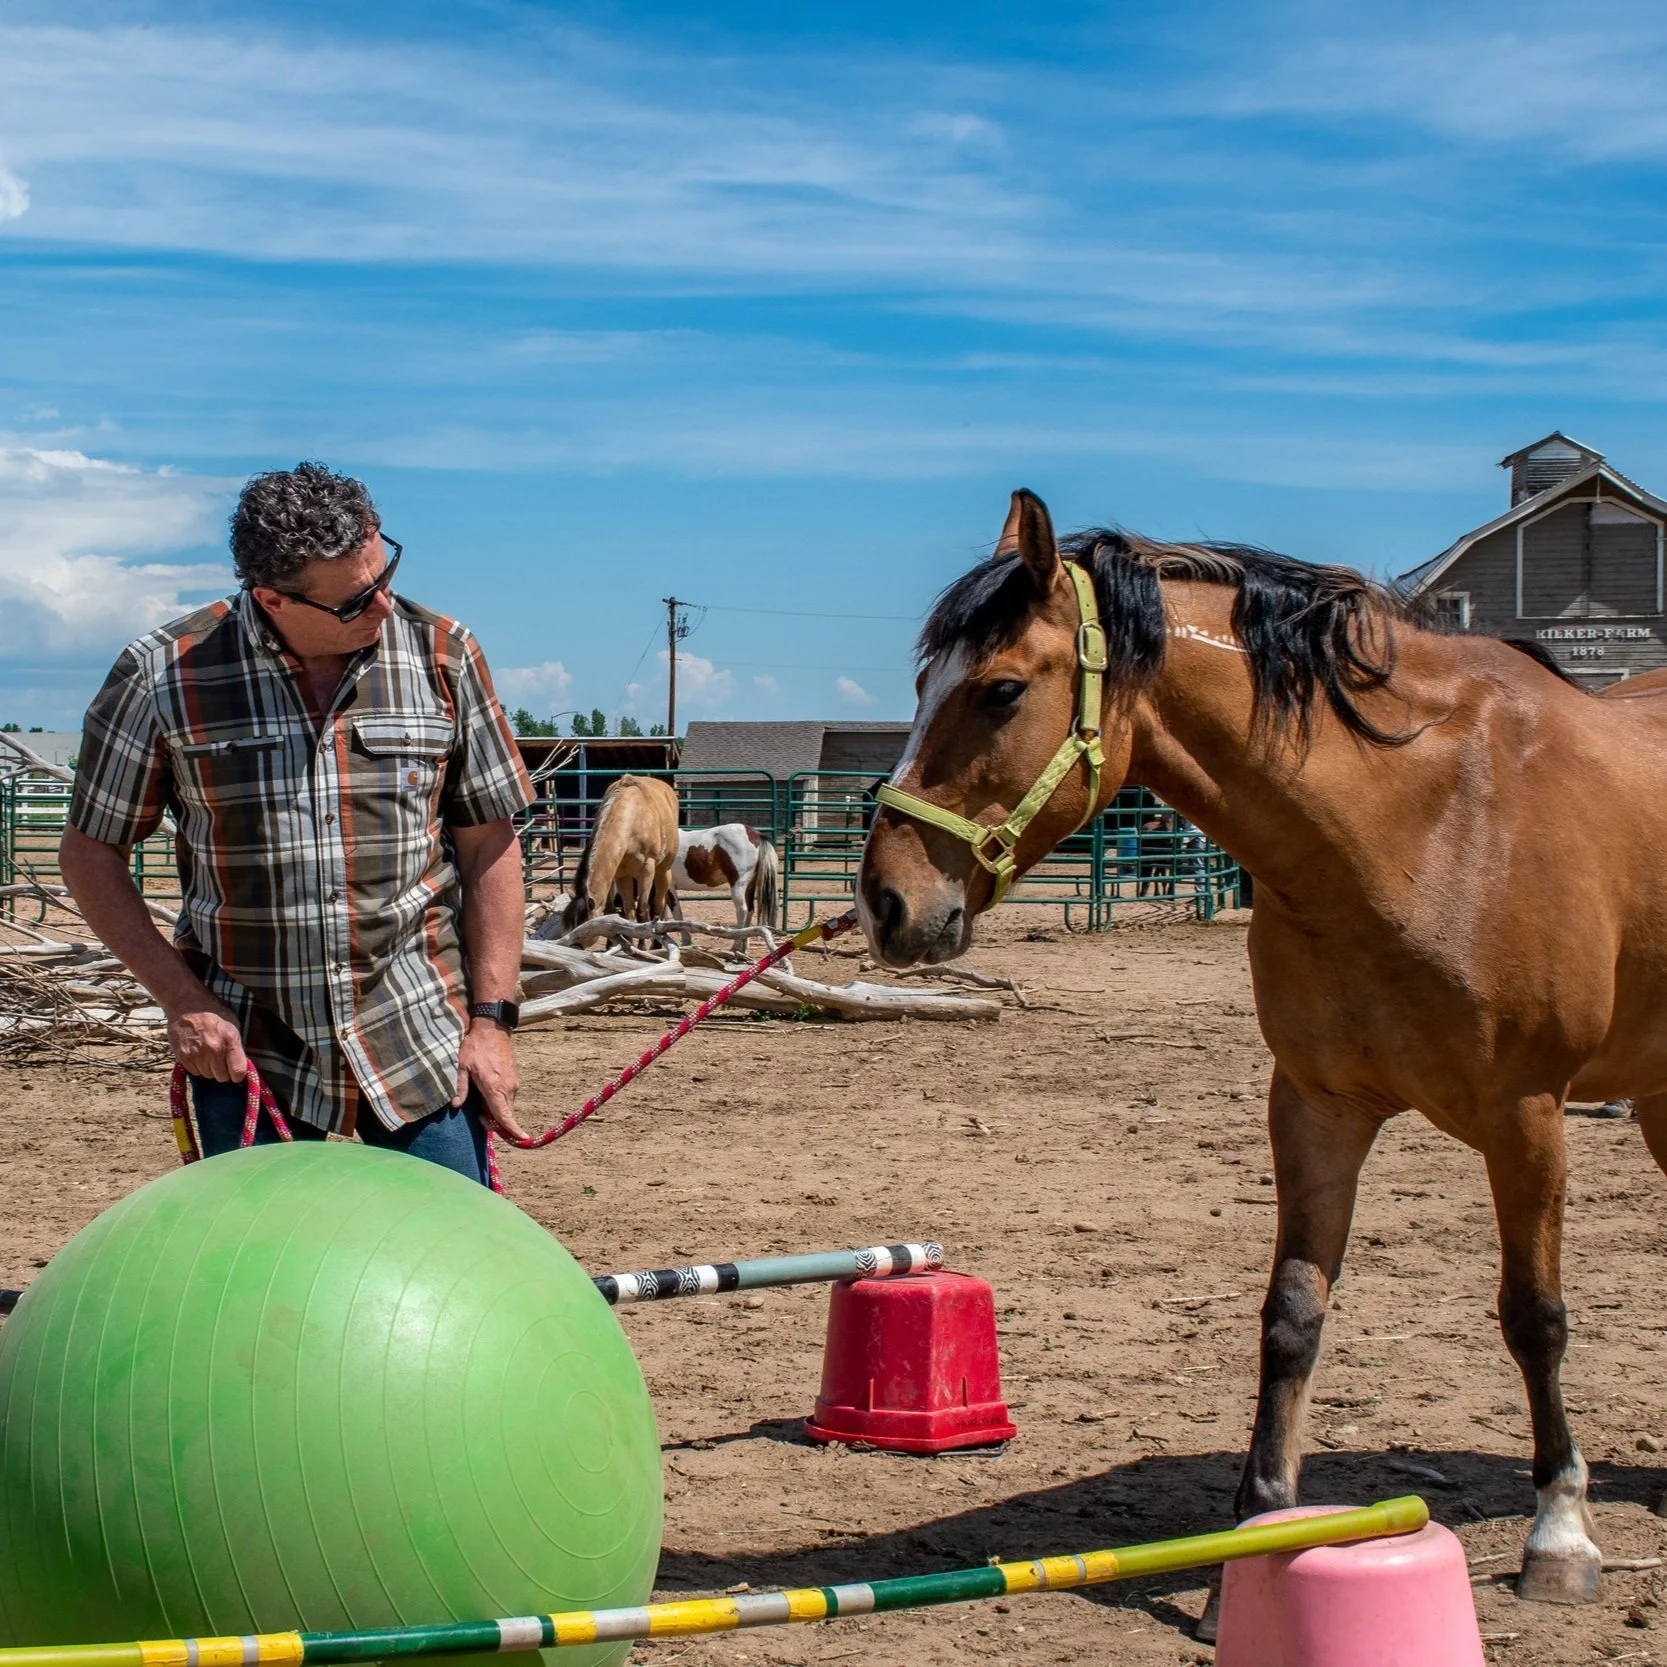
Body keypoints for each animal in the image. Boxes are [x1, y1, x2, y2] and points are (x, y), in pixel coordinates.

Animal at [559, 774, 679, 933]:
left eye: (585, 928)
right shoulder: (622, 874)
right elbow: (629, 913)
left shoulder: (647, 869)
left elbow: (642, 910)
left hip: (663, 870)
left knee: (658, 903)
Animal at [859, 487, 1667, 1623]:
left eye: (1001, 688)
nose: (885, 901)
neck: (1428, 824)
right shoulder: (1315, 1106)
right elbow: (1290, 1316)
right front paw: (1251, 1544)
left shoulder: (1528, 1116)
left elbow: (1533, 1317)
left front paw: (1559, 1531)